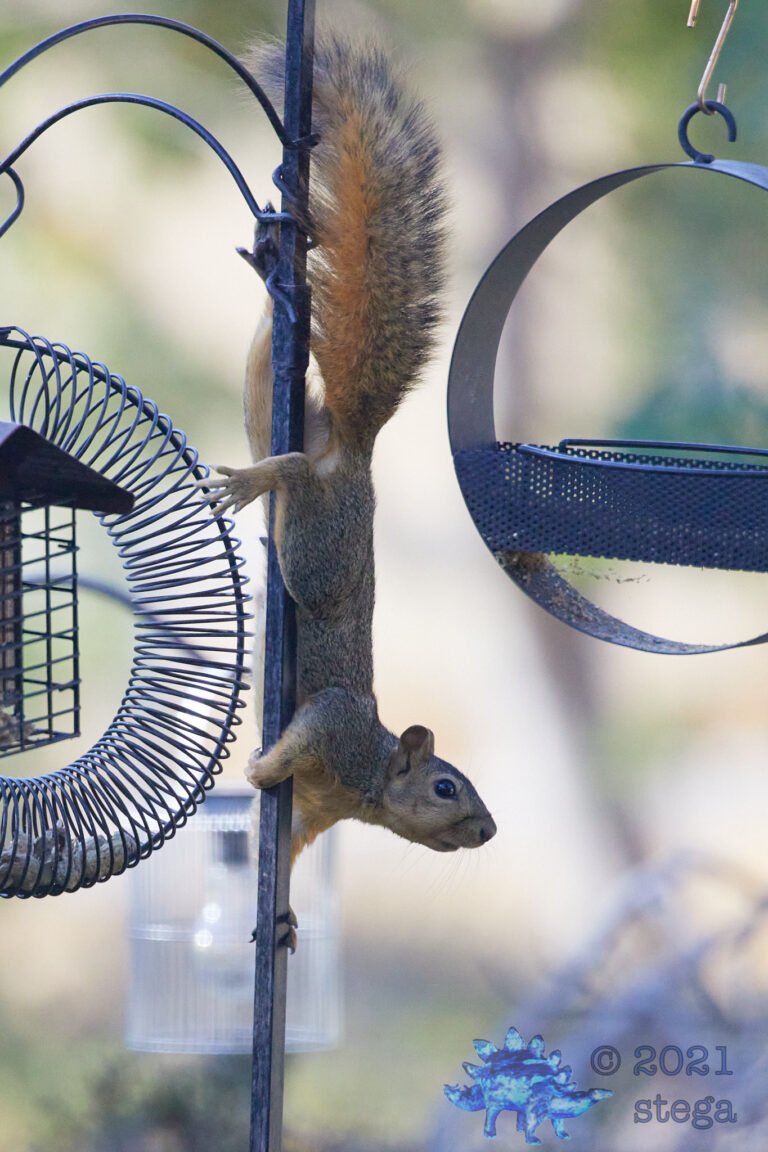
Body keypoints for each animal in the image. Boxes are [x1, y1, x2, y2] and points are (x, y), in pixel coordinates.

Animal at [204, 37, 497, 868]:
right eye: (445, 788)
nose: (488, 831)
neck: (365, 786)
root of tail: (355, 455)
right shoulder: (331, 726)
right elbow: (295, 743)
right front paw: (256, 768)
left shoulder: (316, 812)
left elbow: (290, 841)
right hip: (319, 547)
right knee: (298, 477)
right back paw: (255, 483)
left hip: (275, 413)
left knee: (268, 368)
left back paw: (273, 271)